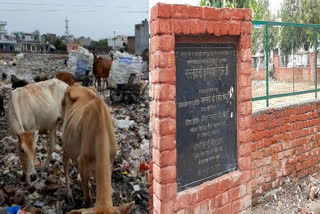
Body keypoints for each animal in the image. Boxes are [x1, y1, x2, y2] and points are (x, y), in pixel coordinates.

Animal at [61, 83, 134, 212]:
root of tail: (75, 84)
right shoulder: (83, 161)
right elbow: (88, 199)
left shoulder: (110, 162)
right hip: (66, 143)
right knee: (66, 167)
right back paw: (69, 195)